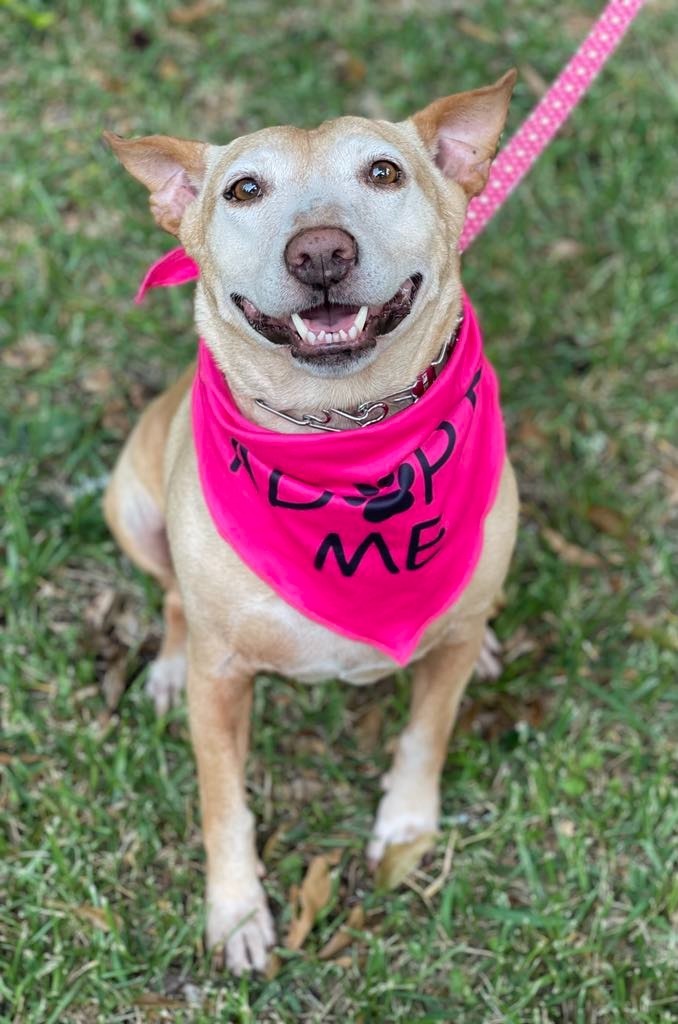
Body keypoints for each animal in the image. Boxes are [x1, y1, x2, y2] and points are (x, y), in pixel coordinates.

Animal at [103, 68, 520, 970]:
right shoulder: (225, 683)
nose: (320, 251)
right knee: (173, 598)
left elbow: (427, 732)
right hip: (130, 505)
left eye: (384, 172)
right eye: (243, 189)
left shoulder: (441, 670)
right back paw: (167, 663)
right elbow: (223, 802)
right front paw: (236, 913)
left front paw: (407, 826)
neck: (346, 434)